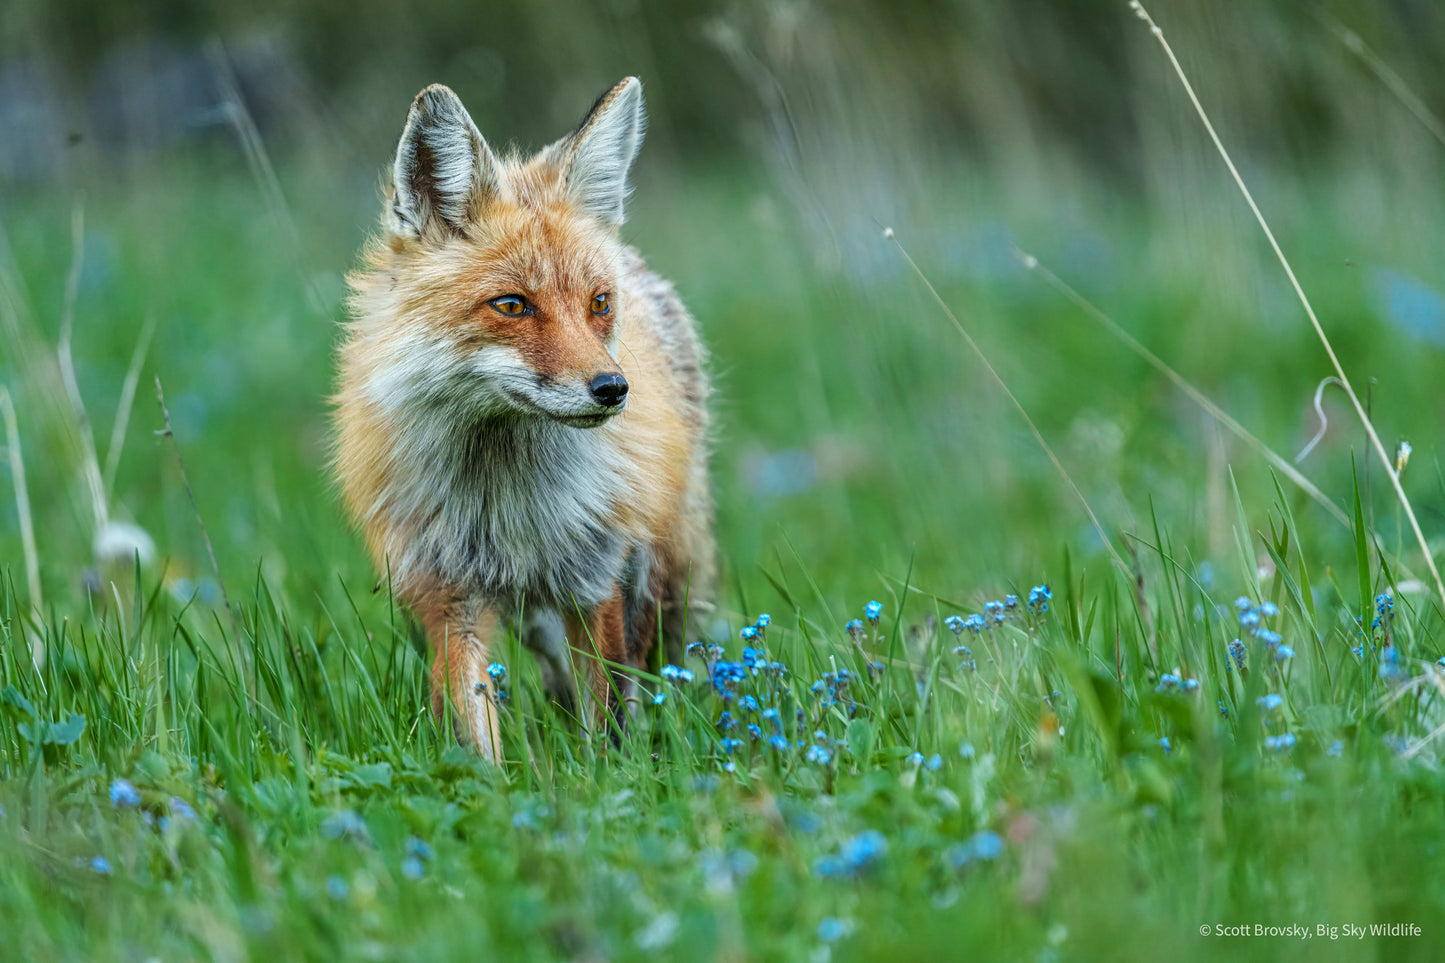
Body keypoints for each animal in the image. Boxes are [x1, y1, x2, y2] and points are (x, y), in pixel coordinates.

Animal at [333, 78, 714, 759]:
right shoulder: (447, 594)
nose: (613, 389)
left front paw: (611, 776)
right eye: (512, 305)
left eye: (598, 303)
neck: (505, 499)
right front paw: (496, 784)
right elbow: (473, 724)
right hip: (539, 617)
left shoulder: (597, 576)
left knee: (650, 670)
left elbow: (608, 711)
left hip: (656, 570)